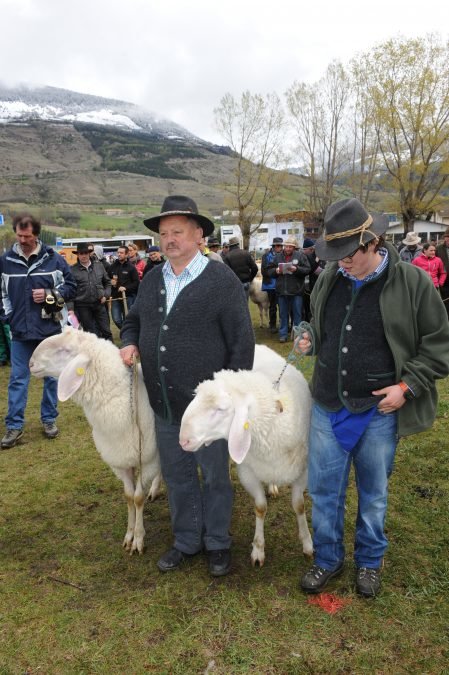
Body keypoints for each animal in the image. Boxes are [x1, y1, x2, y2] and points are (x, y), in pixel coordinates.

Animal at [28, 328, 161, 556]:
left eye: (66, 350)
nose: (30, 363)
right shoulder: (120, 462)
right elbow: (128, 496)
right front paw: (129, 535)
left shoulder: (148, 460)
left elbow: (137, 498)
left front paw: (138, 538)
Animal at [178, 346, 312, 568]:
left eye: (221, 409)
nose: (183, 440)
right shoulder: (248, 473)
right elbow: (260, 507)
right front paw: (258, 549)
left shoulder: (303, 472)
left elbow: (299, 506)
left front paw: (308, 543)